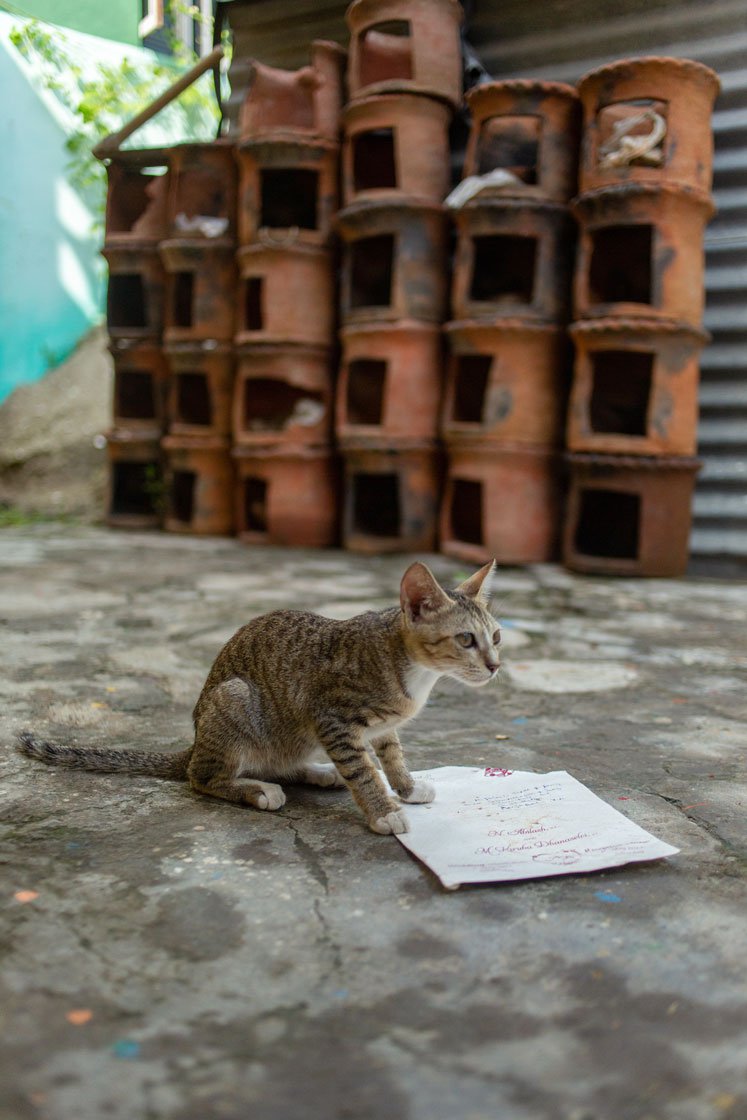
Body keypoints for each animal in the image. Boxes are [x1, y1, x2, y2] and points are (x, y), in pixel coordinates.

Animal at [17, 560, 499, 833]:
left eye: (495, 636)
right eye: (465, 640)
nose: (495, 665)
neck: (411, 670)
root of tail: (195, 741)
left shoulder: (379, 726)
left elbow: (391, 755)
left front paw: (406, 786)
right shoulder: (332, 718)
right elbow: (362, 770)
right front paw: (383, 811)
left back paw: (317, 772)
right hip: (233, 697)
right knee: (199, 776)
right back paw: (255, 790)